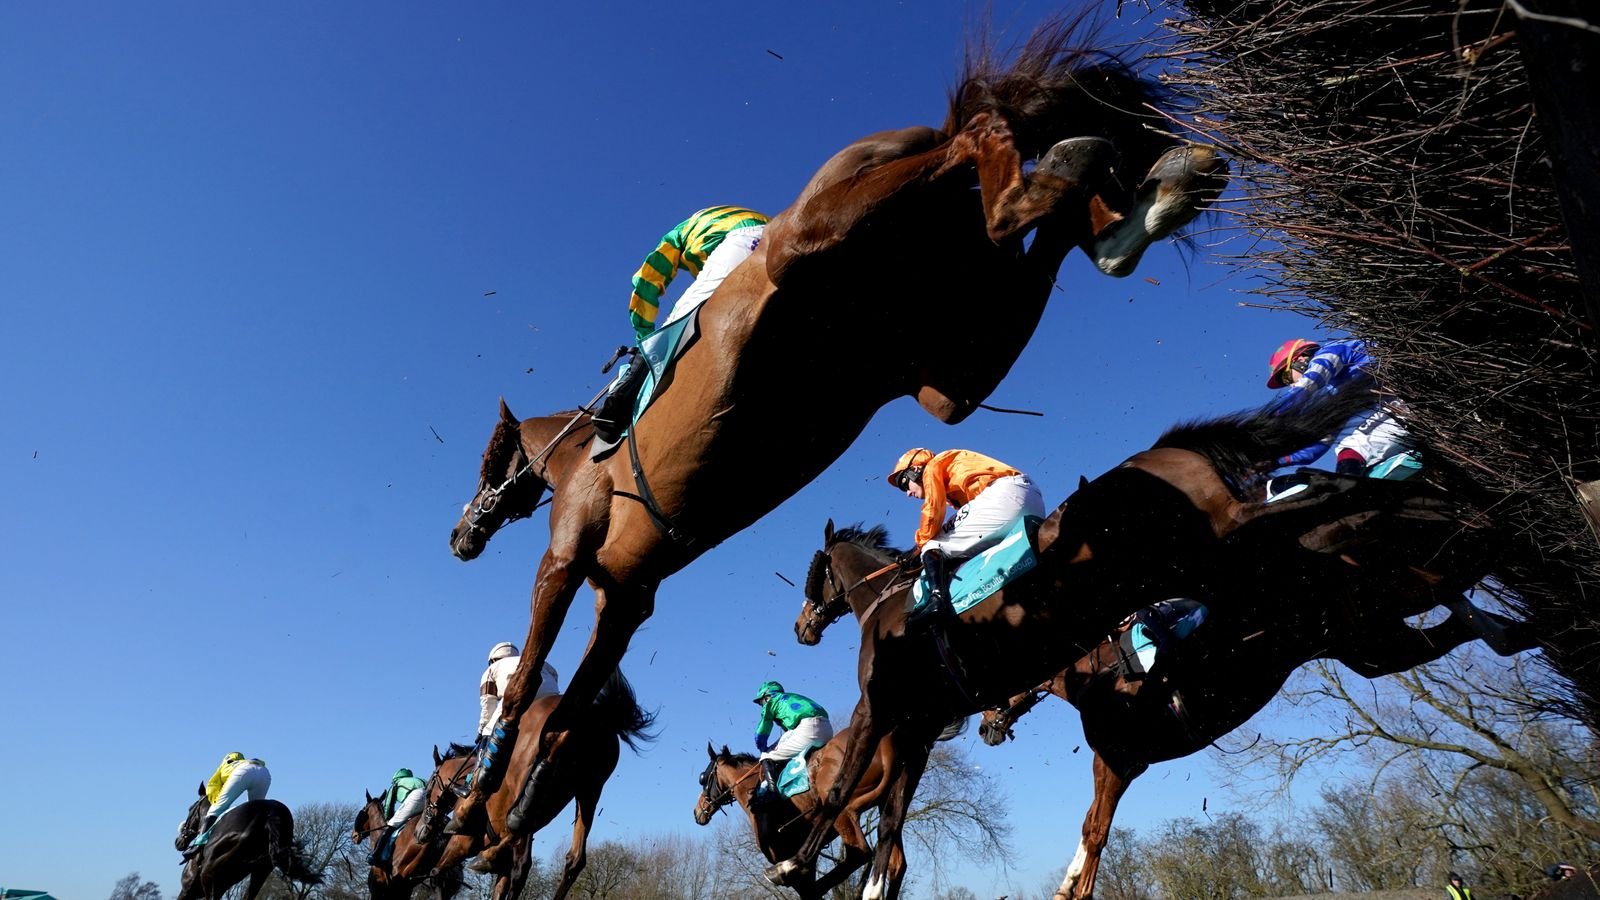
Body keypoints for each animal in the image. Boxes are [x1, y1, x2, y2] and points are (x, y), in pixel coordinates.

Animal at [176, 784, 323, 896]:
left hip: (209, 877)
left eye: (190, 808)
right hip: (261, 871)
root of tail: (271, 812)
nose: (178, 841)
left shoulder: (188, 890)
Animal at [416, 669, 659, 890]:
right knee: (573, 859)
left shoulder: (460, 844)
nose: (419, 831)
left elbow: (436, 872)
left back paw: (490, 855)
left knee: (520, 843)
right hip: (588, 790)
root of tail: (592, 717)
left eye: (427, 790)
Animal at [448, 15, 1222, 864]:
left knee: (980, 151)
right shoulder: (625, 601)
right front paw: (520, 802)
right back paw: (1144, 198)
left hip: (818, 241)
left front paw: (473, 799)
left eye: (488, 460)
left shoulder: (568, 559)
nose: (461, 535)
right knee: (1026, 243)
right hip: (939, 361)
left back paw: (1052, 160)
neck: (579, 460)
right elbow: (567, 706)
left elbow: (527, 687)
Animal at [768, 389, 1465, 890]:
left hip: (1223, 537)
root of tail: (1157, 454)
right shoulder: (916, 726)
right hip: (1222, 554)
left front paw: (793, 863)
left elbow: (841, 790)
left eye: (810, 575)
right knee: (1332, 507)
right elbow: (890, 835)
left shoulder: (880, 708)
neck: (886, 607)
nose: (801, 627)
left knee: (1322, 493)